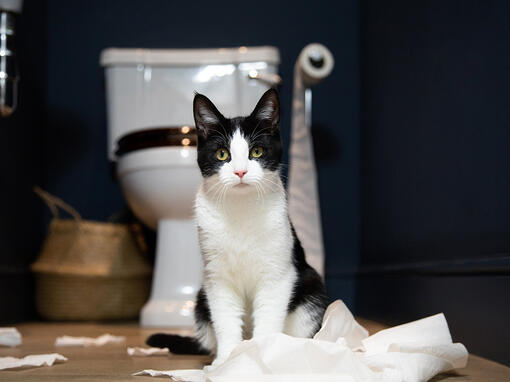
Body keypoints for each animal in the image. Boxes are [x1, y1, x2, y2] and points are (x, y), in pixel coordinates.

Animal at [145, 88, 328, 362]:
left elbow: (268, 316)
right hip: (201, 298)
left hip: (311, 288)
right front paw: (226, 361)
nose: (240, 172)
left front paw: (260, 355)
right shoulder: (217, 277)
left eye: (257, 152)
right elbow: (226, 319)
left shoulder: (278, 274)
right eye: (222, 154)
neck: (241, 210)